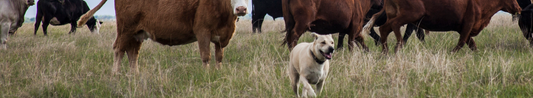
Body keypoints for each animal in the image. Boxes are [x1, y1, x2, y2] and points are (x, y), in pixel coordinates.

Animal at [78, 0, 248, 73]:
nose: (241, 9)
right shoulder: (203, 32)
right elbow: (206, 56)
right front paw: (206, 75)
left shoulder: (220, 36)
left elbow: (219, 57)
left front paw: (218, 72)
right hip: (125, 29)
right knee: (118, 49)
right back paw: (116, 74)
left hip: (136, 33)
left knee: (133, 53)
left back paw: (135, 75)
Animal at [376, 0, 520, 52]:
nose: (519, 8)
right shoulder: (468, 23)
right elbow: (462, 42)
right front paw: (451, 53)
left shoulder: (463, 28)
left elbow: (471, 44)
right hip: (412, 13)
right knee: (393, 25)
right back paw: (397, 46)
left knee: (384, 28)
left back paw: (385, 51)